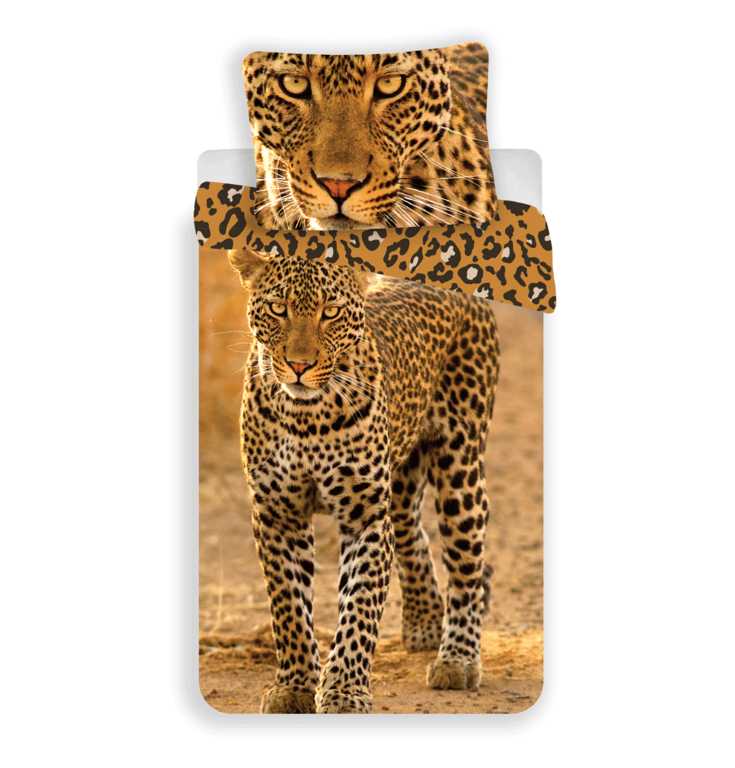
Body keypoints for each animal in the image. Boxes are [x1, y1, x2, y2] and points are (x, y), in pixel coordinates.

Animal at [228, 248, 500, 713]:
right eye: (278, 309)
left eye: (331, 313)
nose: (300, 366)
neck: (308, 417)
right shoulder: (277, 514)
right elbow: (289, 609)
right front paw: (294, 687)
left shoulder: (366, 516)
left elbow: (359, 607)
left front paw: (343, 691)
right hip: (402, 476)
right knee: (411, 533)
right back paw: (425, 622)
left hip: (460, 464)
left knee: (466, 562)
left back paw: (457, 658)